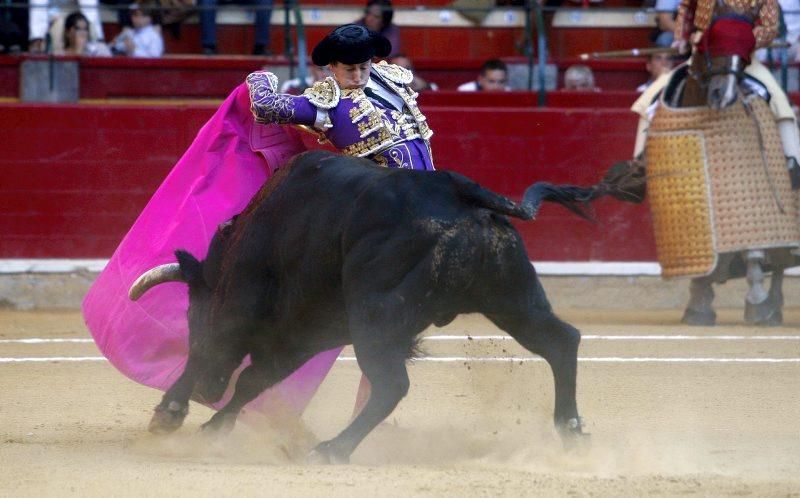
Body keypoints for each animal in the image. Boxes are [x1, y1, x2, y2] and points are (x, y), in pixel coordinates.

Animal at [130, 151, 620, 462]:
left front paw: (170, 414)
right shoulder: (307, 332)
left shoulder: (246, 308)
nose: (206, 390)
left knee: (391, 385)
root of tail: (459, 193)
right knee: (561, 341)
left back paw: (331, 450)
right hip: (512, 297)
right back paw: (571, 432)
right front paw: (214, 426)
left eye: (192, 314)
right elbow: (254, 379)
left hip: (375, 319)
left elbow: (211, 350)